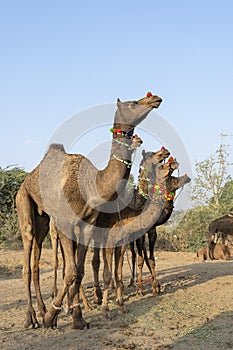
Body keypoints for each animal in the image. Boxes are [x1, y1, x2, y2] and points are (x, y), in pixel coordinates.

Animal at [15, 91, 162, 330]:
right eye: (133, 103)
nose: (154, 99)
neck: (91, 186)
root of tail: (27, 180)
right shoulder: (66, 224)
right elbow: (71, 271)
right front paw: (53, 318)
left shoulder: (87, 226)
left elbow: (79, 270)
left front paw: (77, 318)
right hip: (24, 203)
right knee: (27, 262)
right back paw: (32, 318)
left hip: (43, 220)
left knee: (36, 262)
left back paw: (42, 310)